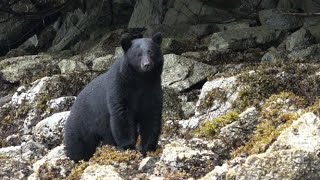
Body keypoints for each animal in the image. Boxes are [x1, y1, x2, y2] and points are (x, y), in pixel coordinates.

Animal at [64, 33, 164, 161]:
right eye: (138, 54)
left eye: (151, 52)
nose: (146, 65)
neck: (140, 79)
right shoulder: (119, 87)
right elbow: (121, 114)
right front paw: (127, 146)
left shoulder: (152, 89)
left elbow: (150, 115)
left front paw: (148, 148)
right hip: (81, 123)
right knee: (77, 145)